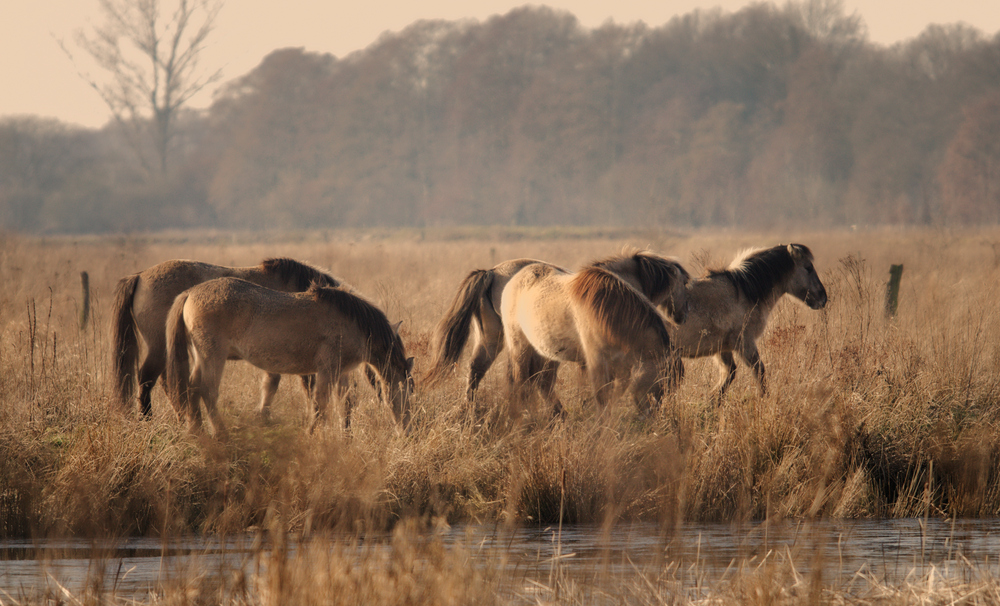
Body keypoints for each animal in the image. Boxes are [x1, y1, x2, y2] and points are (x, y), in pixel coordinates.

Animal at [112, 258, 360, 422]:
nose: (348, 426)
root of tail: (140, 276)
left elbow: (272, 384)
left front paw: (263, 416)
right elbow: (301, 387)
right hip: (160, 347)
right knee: (148, 379)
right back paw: (151, 420)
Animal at [165, 278, 414, 440]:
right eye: (408, 392)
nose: (409, 432)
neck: (353, 324)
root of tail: (190, 293)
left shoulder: (341, 372)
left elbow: (345, 403)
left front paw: (345, 436)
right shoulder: (327, 371)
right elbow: (320, 404)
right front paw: (312, 435)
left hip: (200, 357)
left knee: (193, 388)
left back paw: (196, 431)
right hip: (213, 356)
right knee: (208, 390)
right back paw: (220, 432)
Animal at [498, 266, 680, 418]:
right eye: (664, 381)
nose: (654, 416)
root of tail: (514, 280)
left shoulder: (623, 366)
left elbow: (613, 396)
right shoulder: (597, 361)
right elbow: (602, 396)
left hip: (546, 352)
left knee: (543, 382)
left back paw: (559, 415)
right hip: (520, 347)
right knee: (521, 381)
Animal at [672, 242, 828, 404]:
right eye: (808, 267)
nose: (823, 298)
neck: (742, 291)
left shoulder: (722, 347)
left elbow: (729, 372)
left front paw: (712, 402)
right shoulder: (745, 343)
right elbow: (759, 371)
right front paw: (763, 398)